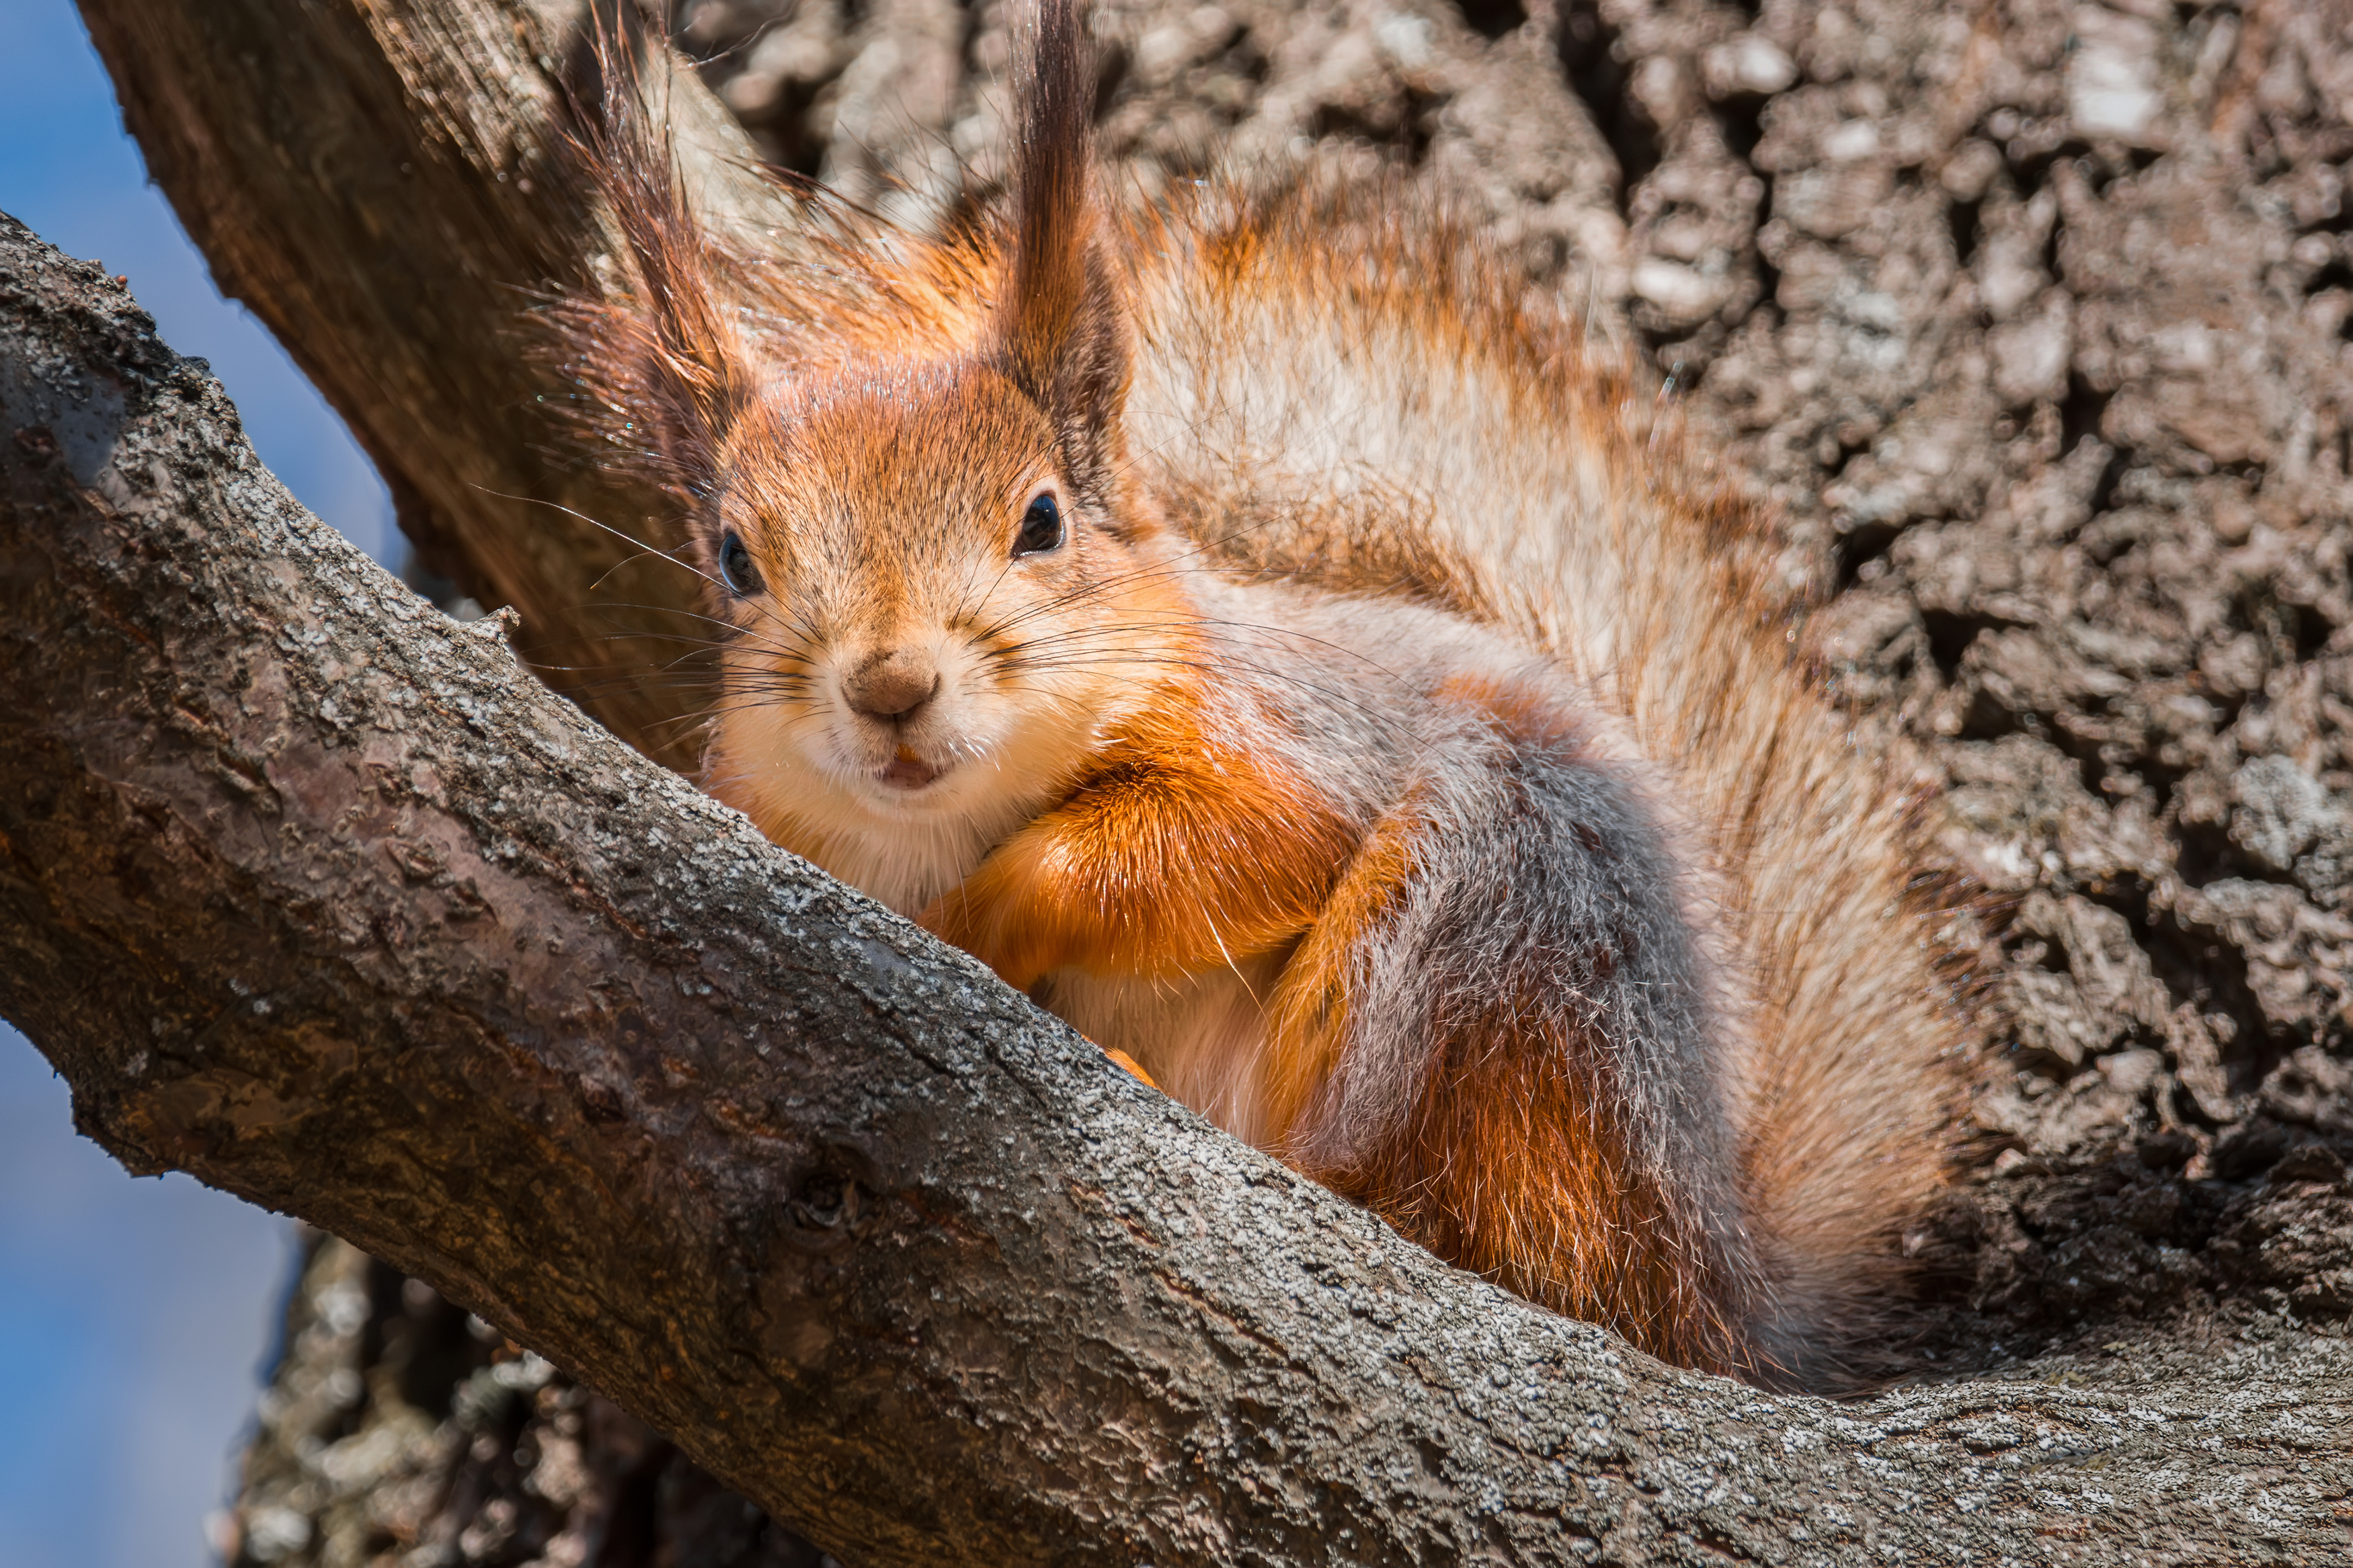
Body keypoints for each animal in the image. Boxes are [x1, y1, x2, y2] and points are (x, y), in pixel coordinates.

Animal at [565, 0, 1967, 1382]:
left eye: (1041, 520)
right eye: (735, 558)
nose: (892, 684)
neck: (942, 818)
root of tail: (1720, 1284)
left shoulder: (1293, 728)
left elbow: (1249, 837)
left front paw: (990, 915)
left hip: (1498, 923)